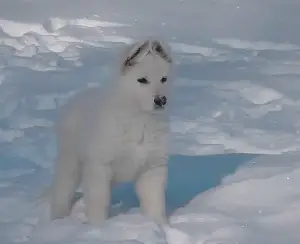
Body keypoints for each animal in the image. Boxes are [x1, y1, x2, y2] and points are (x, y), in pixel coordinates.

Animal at [49, 39, 173, 226]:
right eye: (142, 80)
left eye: (164, 79)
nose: (161, 100)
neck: (139, 119)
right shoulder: (100, 166)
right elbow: (99, 200)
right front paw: (97, 227)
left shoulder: (153, 167)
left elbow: (154, 202)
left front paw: (159, 225)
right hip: (71, 163)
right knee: (62, 192)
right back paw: (56, 220)